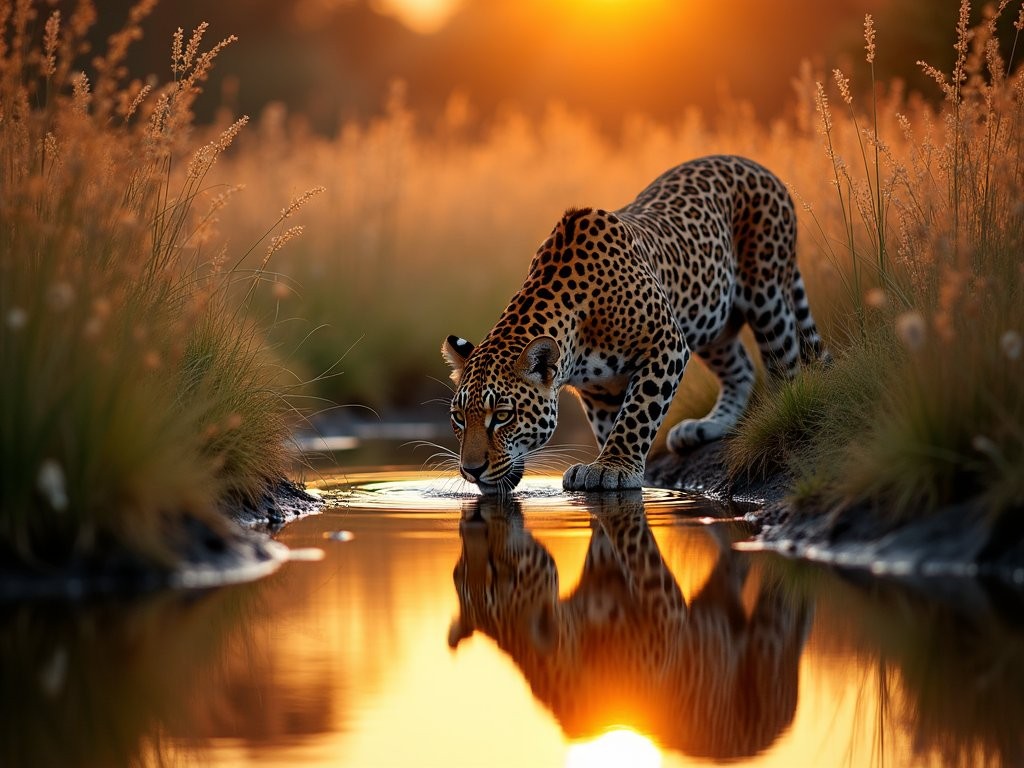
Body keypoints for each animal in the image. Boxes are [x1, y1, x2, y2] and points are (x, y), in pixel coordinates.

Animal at [442, 155, 828, 493]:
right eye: (459, 418)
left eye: (503, 415)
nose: (471, 470)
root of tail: (756, 165)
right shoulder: (597, 388)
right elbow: (611, 425)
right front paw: (610, 464)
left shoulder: (666, 343)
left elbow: (638, 414)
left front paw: (612, 469)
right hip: (710, 319)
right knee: (741, 369)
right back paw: (705, 427)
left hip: (767, 295)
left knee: (786, 364)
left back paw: (776, 419)